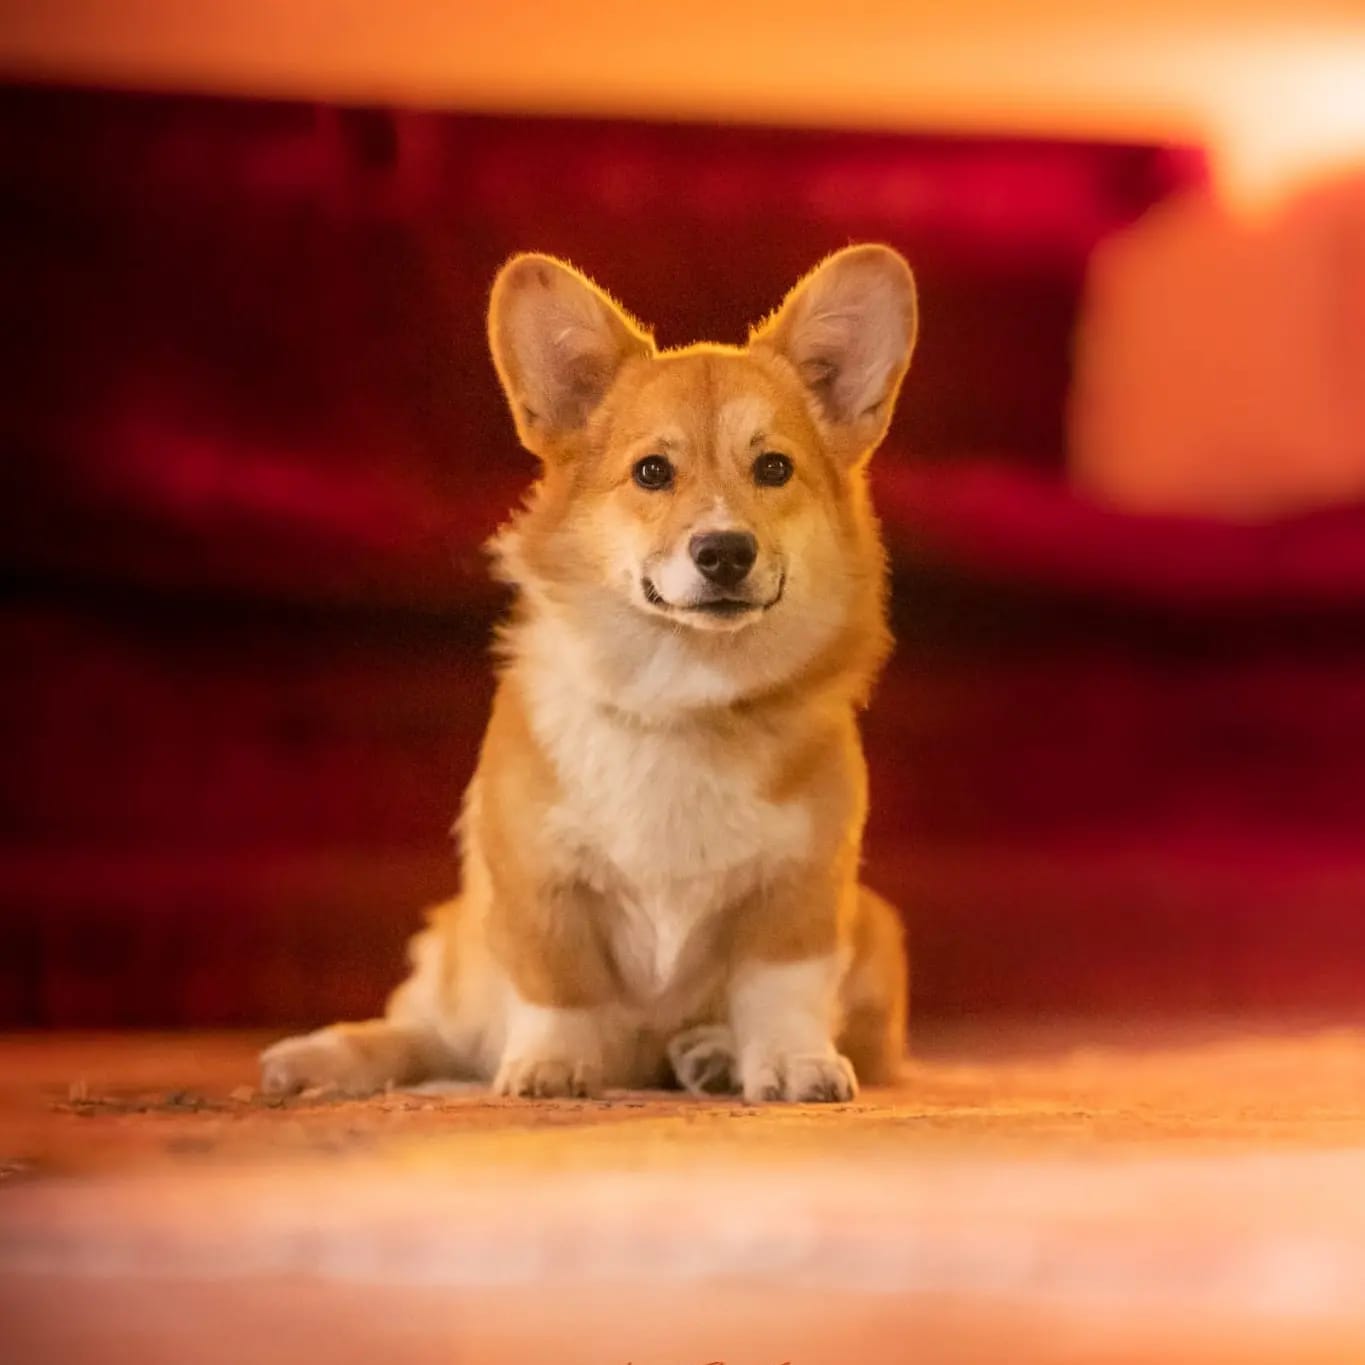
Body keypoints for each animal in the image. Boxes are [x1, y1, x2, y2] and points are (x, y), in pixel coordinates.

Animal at [256, 242, 917, 1097]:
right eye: (651, 473)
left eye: (774, 468)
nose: (724, 551)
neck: (683, 690)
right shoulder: (538, 884)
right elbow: (557, 985)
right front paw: (551, 1064)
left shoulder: (801, 891)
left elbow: (781, 990)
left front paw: (790, 1060)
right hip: (453, 954)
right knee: (425, 1031)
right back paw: (318, 1057)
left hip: (874, 929)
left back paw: (709, 1053)